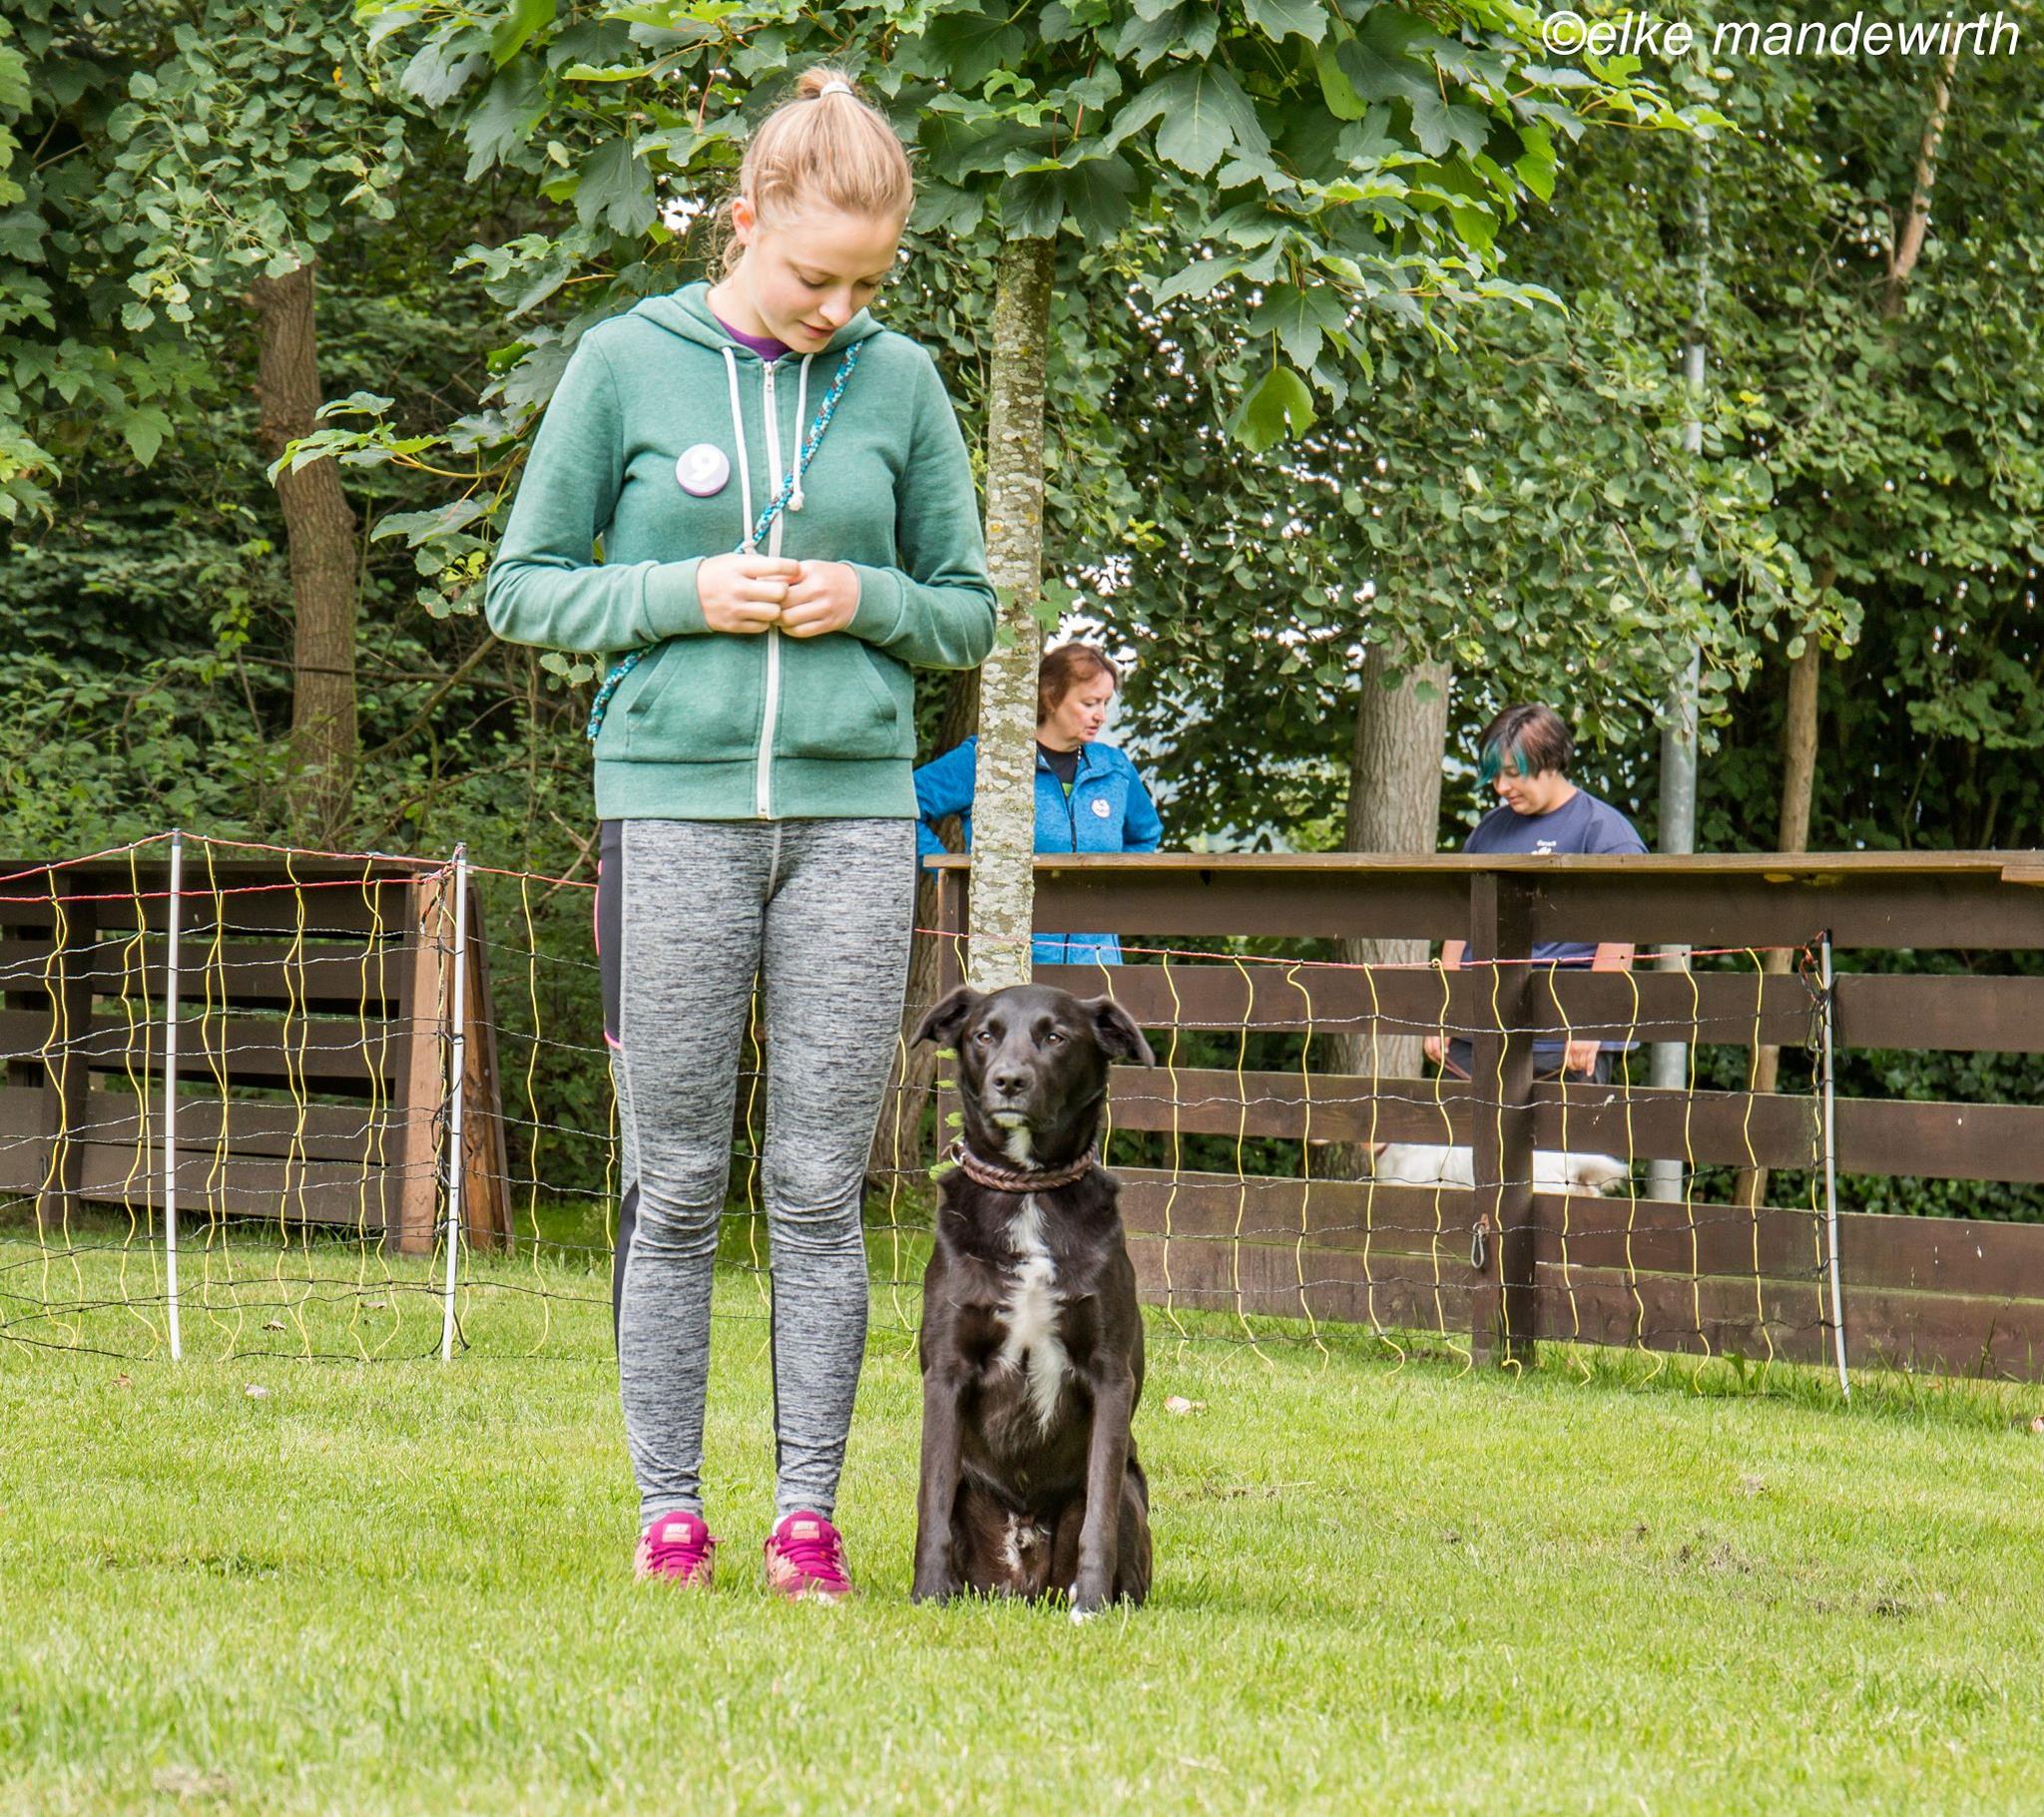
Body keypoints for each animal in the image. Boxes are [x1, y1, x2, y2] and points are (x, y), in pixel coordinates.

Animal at [909, 983, 1157, 1619]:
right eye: (984, 1034)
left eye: (1055, 1036)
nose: (1009, 1081)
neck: (1029, 1195)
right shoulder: (946, 1371)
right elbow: (932, 1506)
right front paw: (927, 1595)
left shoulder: (1110, 1375)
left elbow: (1098, 1517)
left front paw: (1090, 1603)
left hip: (1131, 1490)